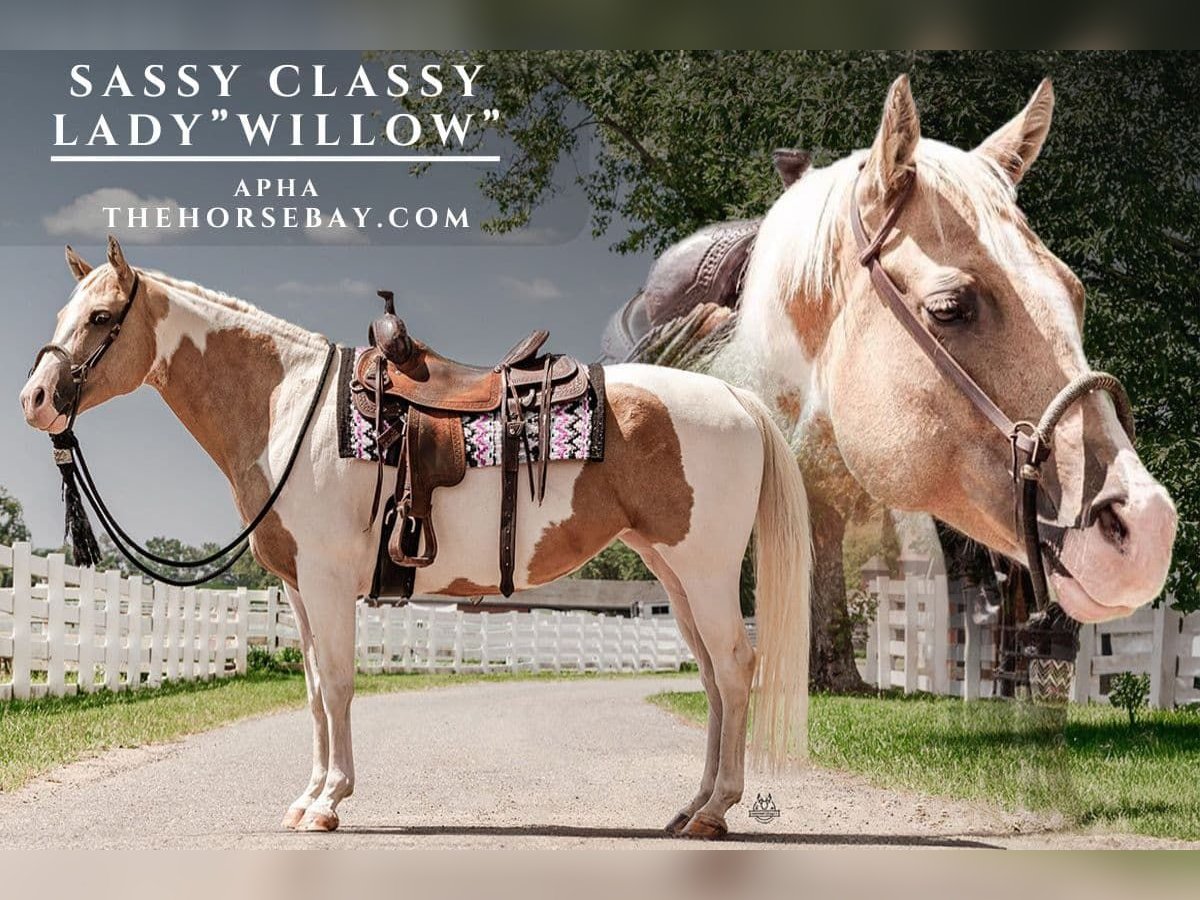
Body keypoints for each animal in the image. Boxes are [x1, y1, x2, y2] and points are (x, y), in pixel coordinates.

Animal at [19, 237, 811, 839]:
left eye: (100, 315)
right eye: (62, 310)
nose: (34, 400)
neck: (289, 408)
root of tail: (734, 397)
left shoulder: (329, 583)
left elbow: (339, 682)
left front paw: (329, 803)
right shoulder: (298, 589)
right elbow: (314, 690)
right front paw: (307, 798)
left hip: (705, 571)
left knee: (734, 669)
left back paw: (715, 812)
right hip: (675, 576)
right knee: (711, 677)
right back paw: (690, 808)